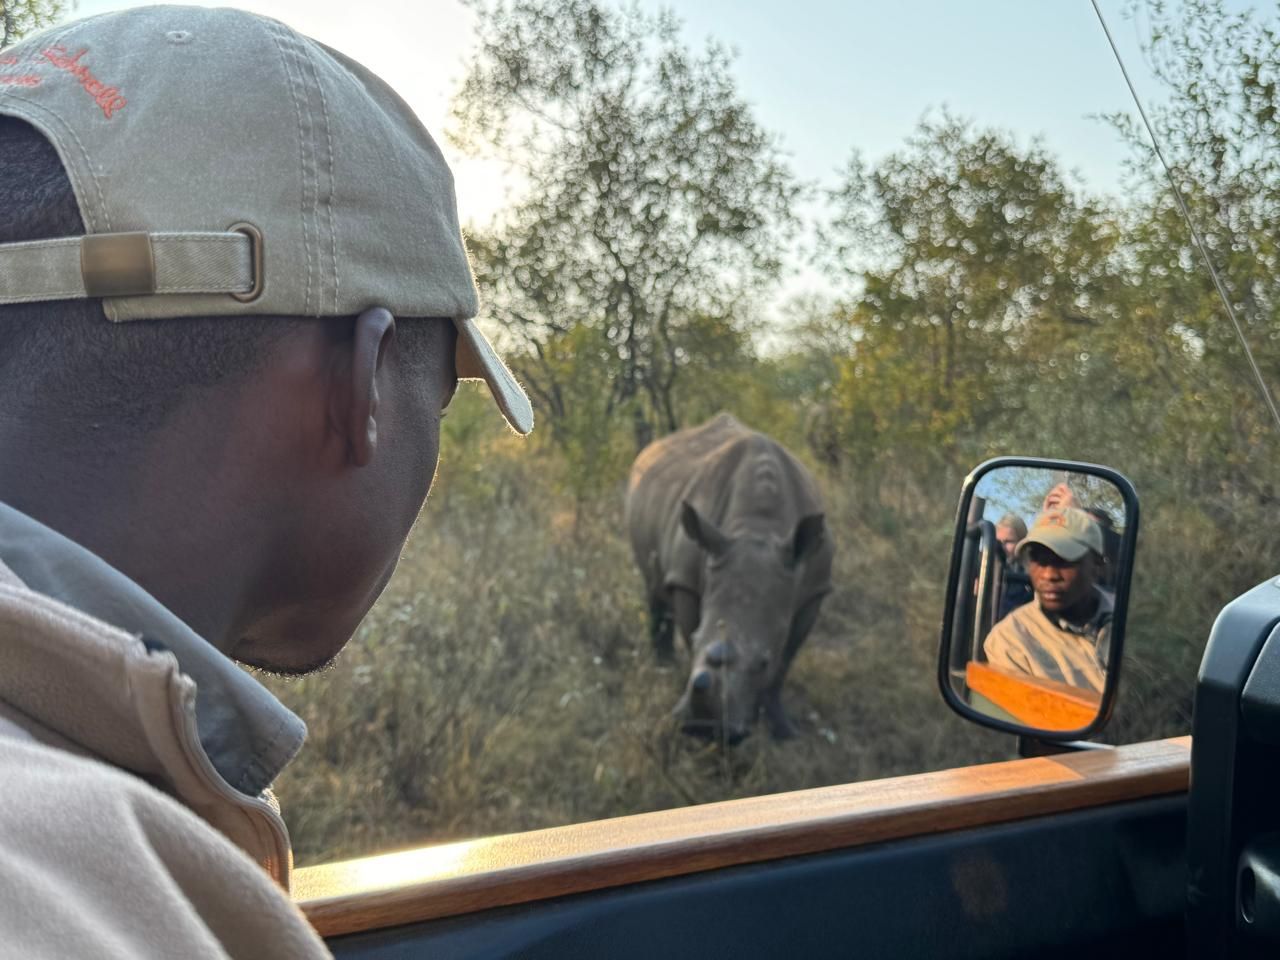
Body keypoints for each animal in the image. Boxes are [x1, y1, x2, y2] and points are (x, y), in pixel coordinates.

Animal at [626, 413, 834, 743]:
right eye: (695, 641)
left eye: (762, 661)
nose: (704, 728)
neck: (758, 528)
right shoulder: (686, 577)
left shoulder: (814, 590)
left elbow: (785, 661)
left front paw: (783, 731)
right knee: (653, 584)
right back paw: (664, 665)